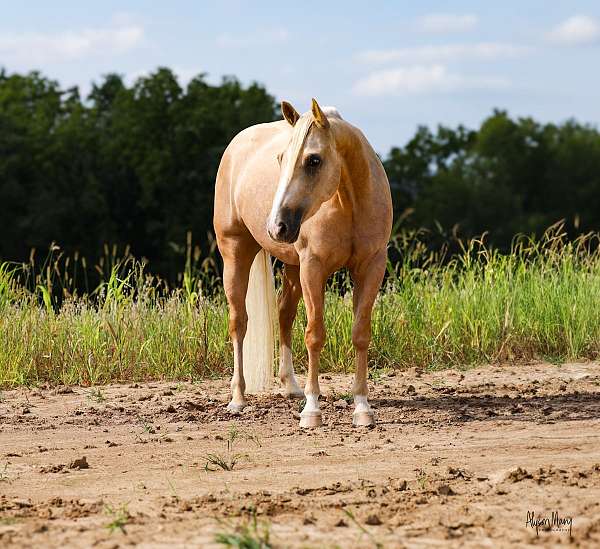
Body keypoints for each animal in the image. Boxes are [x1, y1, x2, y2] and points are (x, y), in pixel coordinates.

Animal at [213, 99, 392, 428]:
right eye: (281, 158)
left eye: (314, 160)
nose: (277, 226)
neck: (348, 201)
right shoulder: (313, 268)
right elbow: (314, 335)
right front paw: (312, 410)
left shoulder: (371, 266)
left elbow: (361, 334)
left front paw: (362, 407)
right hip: (236, 254)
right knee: (238, 322)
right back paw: (238, 399)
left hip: (293, 267)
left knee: (284, 315)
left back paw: (290, 386)